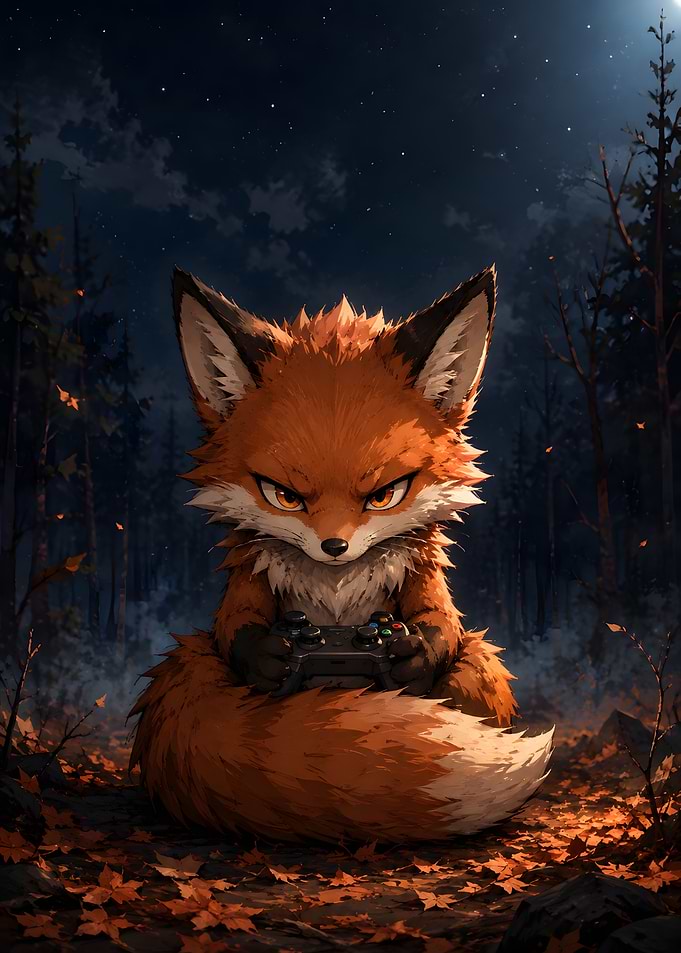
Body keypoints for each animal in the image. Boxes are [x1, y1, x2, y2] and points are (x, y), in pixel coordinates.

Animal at [129, 263, 553, 844]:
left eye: (384, 495)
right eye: (285, 496)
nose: (335, 547)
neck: (335, 599)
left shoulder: (421, 579)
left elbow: (439, 620)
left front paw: (410, 655)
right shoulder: (249, 580)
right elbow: (237, 623)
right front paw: (269, 657)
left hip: (484, 664)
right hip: (187, 659)